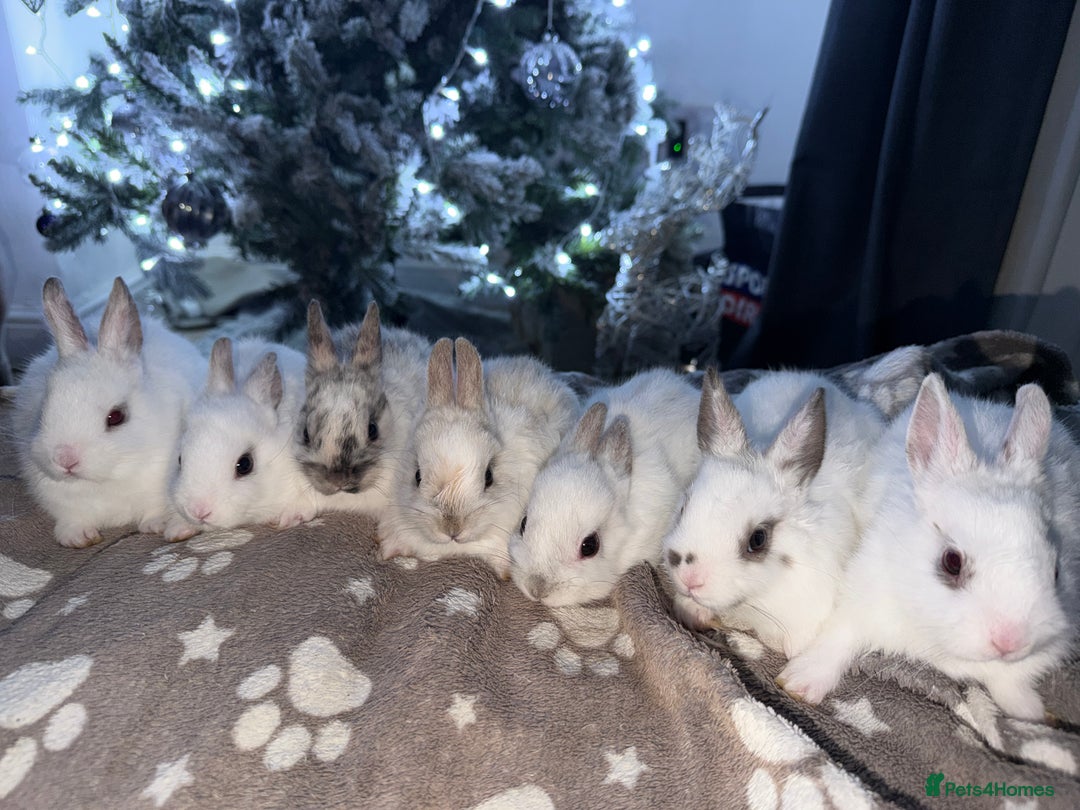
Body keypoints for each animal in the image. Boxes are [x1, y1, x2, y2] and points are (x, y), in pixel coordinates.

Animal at [13, 276, 206, 547]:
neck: (106, 478)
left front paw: (155, 525)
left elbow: (154, 509)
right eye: (43, 411)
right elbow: (73, 518)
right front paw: (76, 538)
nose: (65, 459)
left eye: (116, 417)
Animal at [778, 373, 1077, 721]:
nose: (1010, 641)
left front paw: (1030, 713)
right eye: (952, 562)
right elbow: (838, 639)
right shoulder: (861, 601)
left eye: (1056, 571)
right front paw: (800, 683)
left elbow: (1009, 683)